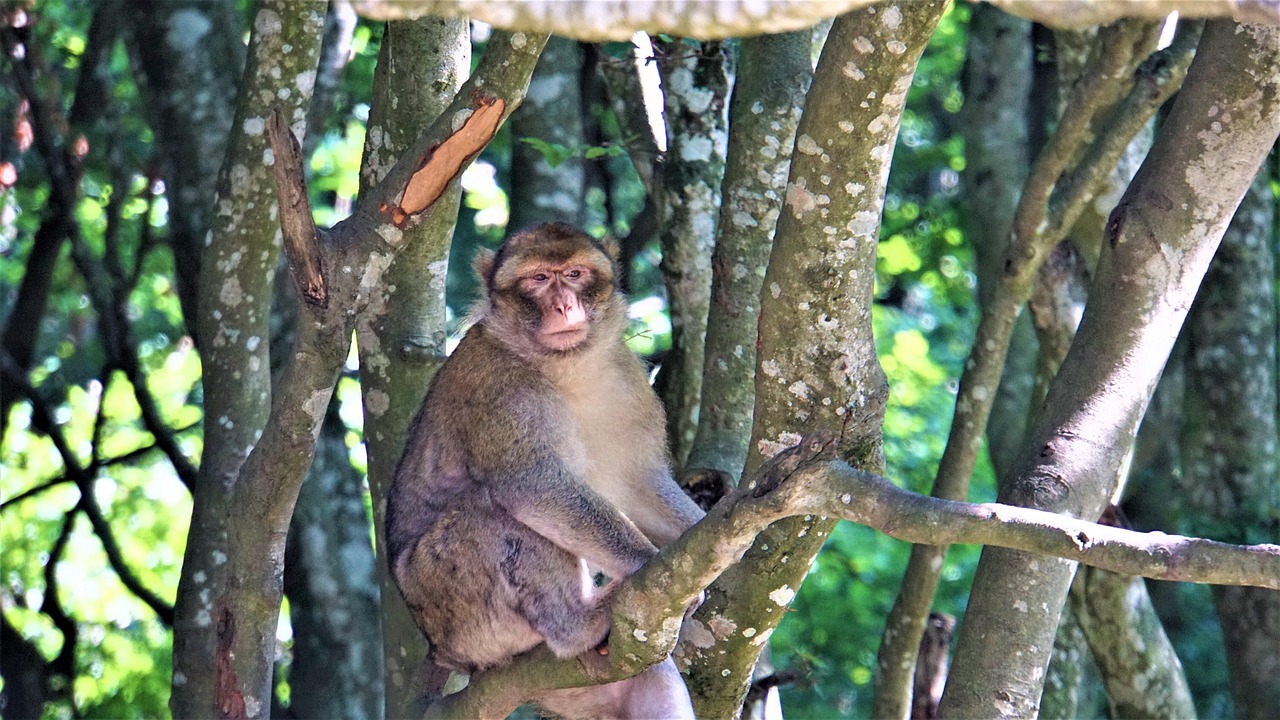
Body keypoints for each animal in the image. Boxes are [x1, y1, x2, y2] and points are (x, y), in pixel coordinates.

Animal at [386, 222, 705, 719]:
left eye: (574, 274)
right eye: (537, 279)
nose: (564, 305)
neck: (564, 367)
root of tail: (444, 653)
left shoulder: (627, 381)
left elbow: (640, 487)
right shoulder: (502, 388)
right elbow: (533, 486)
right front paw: (644, 561)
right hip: (452, 608)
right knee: (491, 510)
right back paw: (577, 623)